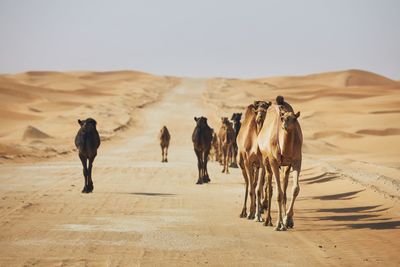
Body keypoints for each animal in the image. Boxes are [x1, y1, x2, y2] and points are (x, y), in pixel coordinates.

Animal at [256, 97, 304, 231]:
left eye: (294, 119)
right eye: (282, 118)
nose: (285, 125)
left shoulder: (297, 161)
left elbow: (295, 189)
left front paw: (287, 219)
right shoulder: (274, 161)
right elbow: (278, 193)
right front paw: (279, 224)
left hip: (285, 166)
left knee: (284, 185)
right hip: (265, 160)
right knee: (269, 186)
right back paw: (268, 220)